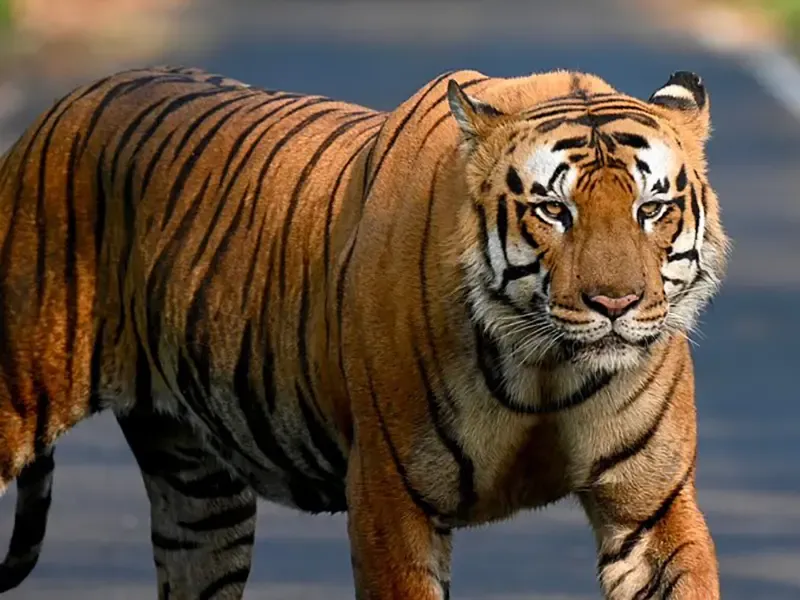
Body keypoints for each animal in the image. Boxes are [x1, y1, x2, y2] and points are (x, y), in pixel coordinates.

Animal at [0, 64, 728, 599]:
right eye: (553, 210)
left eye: (651, 209)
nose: (616, 303)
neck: (546, 368)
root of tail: (59, 107)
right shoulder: (391, 500)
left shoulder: (650, 509)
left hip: (198, 491)